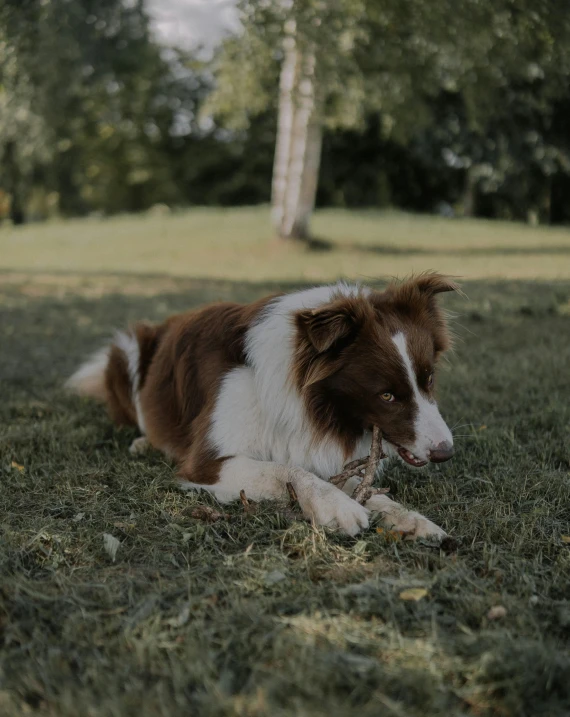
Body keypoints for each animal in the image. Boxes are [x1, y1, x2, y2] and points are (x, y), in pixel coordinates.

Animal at [66, 272, 458, 536]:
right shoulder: (208, 463)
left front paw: (408, 518)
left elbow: (353, 486)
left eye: (428, 380)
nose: (445, 452)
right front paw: (334, 505)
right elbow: (288, 470)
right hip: (128, 347)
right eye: (387, 395)